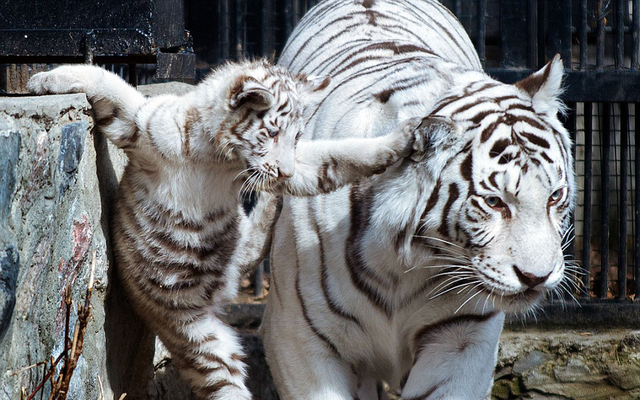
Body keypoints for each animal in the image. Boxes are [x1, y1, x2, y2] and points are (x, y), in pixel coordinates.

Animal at [260, 0, 576, 400]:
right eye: (494, 202)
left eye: (555, 197)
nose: (537, 277)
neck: (399, 264)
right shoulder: (300, 338)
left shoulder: (461, 336)